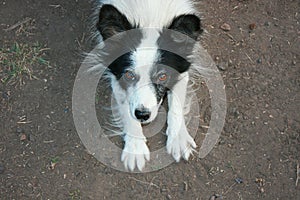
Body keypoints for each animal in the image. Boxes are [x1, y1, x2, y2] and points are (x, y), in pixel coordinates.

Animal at [91, 0, 204, 172]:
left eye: (163, 76)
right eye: (129, 75)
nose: (142, 115)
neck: (150, 17)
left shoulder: (181, 68)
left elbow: (176, 103)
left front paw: (178, 138)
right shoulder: (116, 74)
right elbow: (127, 110)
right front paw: (135, 148)